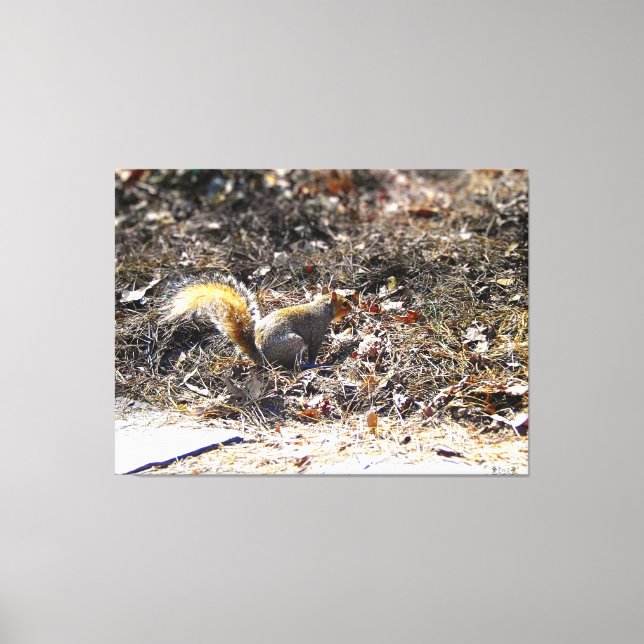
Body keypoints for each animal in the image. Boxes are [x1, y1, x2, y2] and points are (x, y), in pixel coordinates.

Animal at [160, 273, 352, 368]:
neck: (322, 308)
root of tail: (262, 358)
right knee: (293, 366)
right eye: (344, 303)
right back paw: (309, 367)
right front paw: (315, 362)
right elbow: (313, 350)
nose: (352, 308)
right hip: (294, 343)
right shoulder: (317, 332)